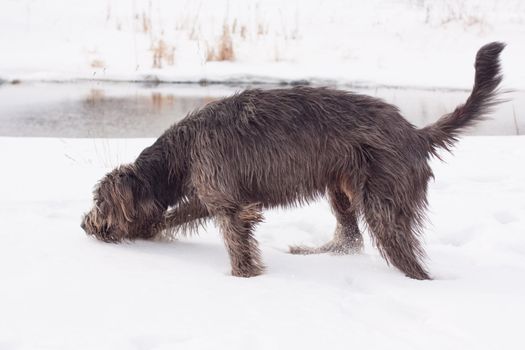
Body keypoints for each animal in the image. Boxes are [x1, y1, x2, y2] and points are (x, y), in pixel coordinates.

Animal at [81, 42, 504, 280]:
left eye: (99, 202)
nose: (85, 225)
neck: (181, 153)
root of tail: (416, 134)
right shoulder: (211, 193)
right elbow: (180, 214)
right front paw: (149, 231)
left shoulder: (228, 201)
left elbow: (236, 240)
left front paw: (243, 278)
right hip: (341, 188)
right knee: (349, 237)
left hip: (384, 200)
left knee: (402, 253)